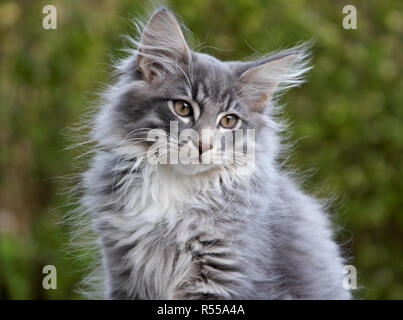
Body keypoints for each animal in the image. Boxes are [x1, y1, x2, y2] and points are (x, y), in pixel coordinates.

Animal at [79, 8, 350, 300]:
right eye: (183, 108)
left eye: (229, 121)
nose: (204, 144)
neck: (176, 188)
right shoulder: (124, 271)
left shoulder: (224, 274)